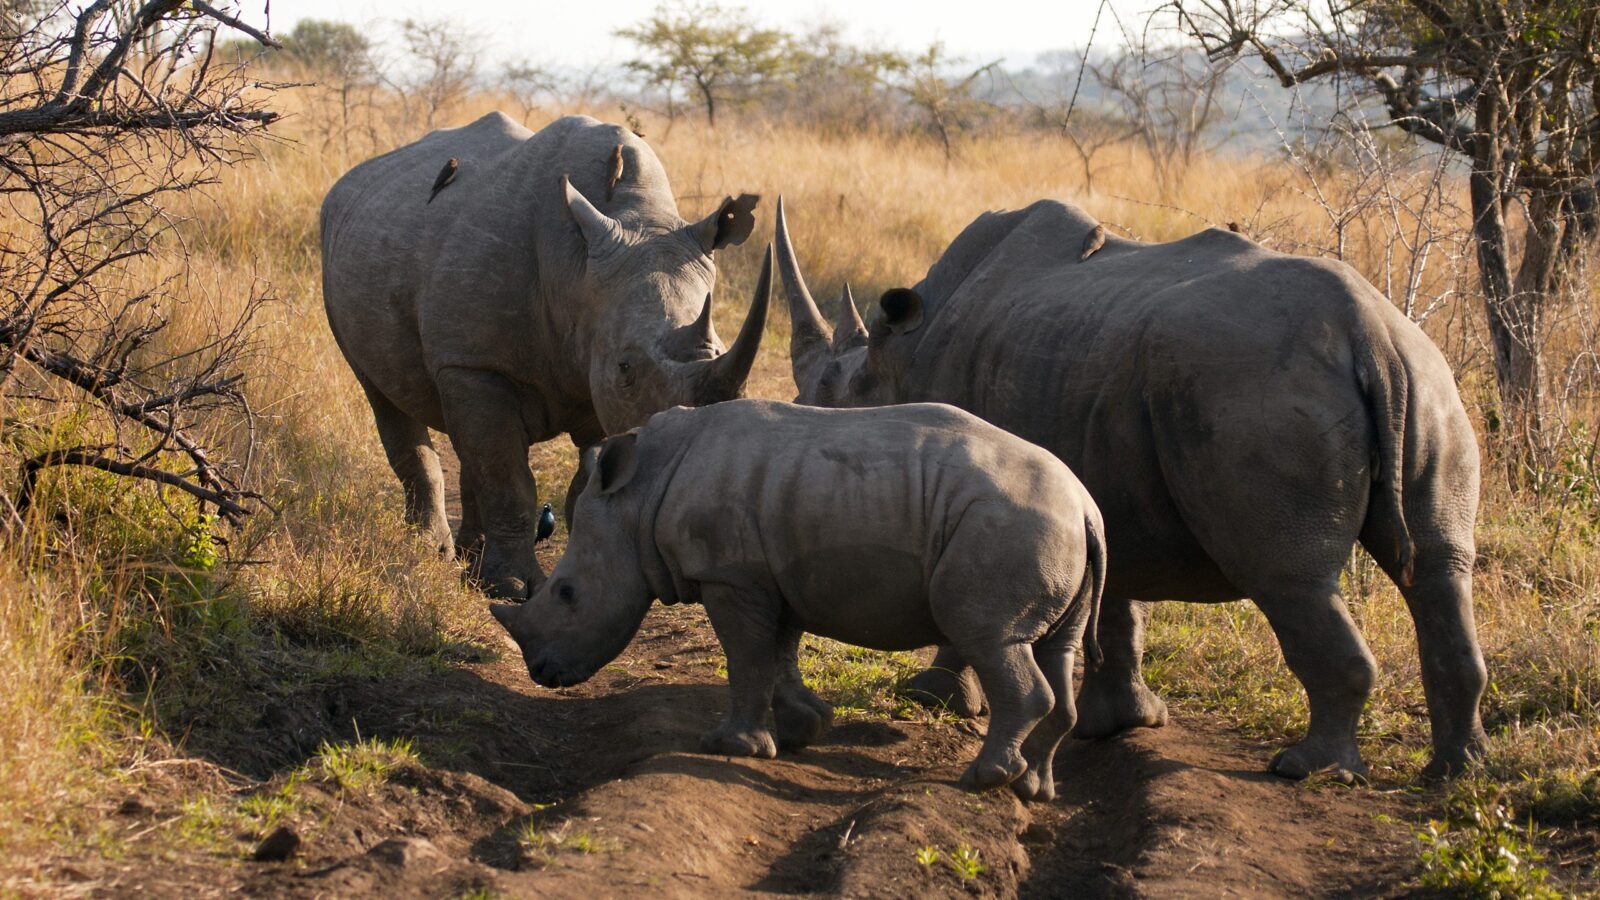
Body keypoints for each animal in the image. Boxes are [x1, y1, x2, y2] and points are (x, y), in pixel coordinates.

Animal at [320, 114, 770, 598]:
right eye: (625, 367)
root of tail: (350, 178)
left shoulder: (593, 376)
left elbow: (577, 477)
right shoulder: (475, 363)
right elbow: (508, 478)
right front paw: (512, 587)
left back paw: (468, 563)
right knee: (384, 396)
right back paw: (434, 553)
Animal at [490, 398, 1106, 801]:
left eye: (568, 593)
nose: (541, 673)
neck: (639, 496)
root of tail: (1084, 505)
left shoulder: (730, 575)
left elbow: (746, 657)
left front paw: (730, 747)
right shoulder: (770, 576)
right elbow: (777, 654)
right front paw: (802, 730)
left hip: (1010, 526)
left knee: (990, 637)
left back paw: (984, 780)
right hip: (1052, 532)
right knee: (1054, 649)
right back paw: (1032, 789)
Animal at [775, 197, 1486, 781]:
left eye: (824, 403)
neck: (894, 366)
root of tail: (1370, 337)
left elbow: (979, 598)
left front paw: (935, 696)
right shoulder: (1101, 471)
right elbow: (1117, 601)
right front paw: (1121, 724)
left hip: (1257, 393)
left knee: (1290, 578)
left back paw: (1308, 769)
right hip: (1427, 382)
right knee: (1442, 568)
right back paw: (1454, 772)